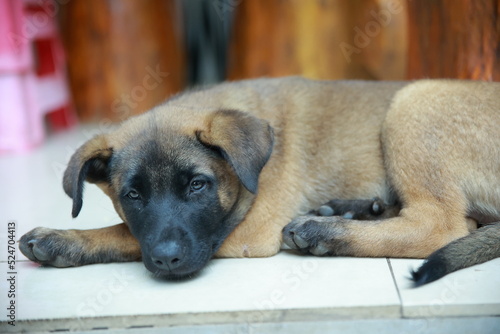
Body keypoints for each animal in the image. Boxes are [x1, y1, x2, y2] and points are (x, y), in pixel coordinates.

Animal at [18, 77, 500, 284]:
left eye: (198, 186)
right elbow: (133, 231)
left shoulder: (249, 231)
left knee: (443, 225)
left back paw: (325, 231)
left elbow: (124, 235)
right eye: (132, 194)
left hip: (414, 101)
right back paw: (351, 211)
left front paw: (63, 240)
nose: (168, 261)